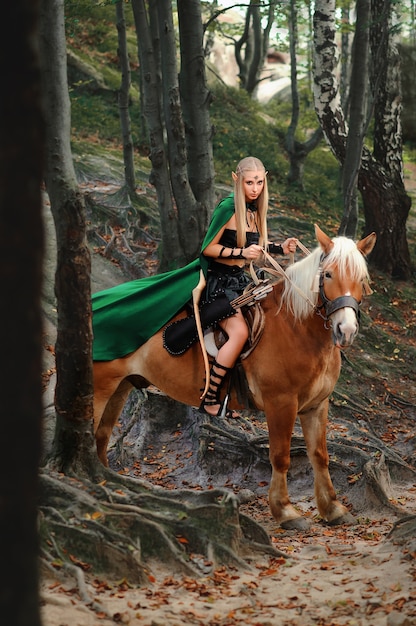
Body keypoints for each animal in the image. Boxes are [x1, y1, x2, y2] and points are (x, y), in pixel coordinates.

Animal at [93, 224, 376, 528]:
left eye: (361, 278)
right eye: (328, 274)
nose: (346, 330)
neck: (296, 328)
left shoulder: (317, 405)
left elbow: (320, 455)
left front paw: (333, 508)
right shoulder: (281, 403)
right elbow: (281, 456)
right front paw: (285, 511)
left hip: (120, 387)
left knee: (102, 435)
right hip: (100, 388)